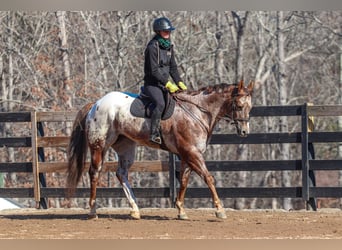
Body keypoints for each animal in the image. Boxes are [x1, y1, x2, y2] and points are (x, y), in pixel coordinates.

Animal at [67, 79, 254, 220]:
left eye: (250, 107)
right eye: (238, 106)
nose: (245, 132)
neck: (196, 112)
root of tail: (96, 103)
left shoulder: (187, 155)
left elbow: (184, 180)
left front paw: (181, 210)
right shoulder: (192, 153)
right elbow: (208, 178)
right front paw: (219, 210)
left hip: (126, 147)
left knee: (121, 173)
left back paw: (135, 209)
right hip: (99, 146)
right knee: (94, 172)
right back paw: (93, 211)